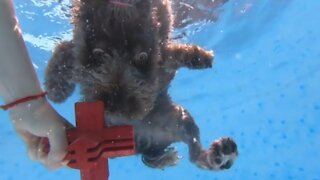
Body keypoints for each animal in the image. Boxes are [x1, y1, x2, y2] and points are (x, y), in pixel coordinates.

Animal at [45, 0, 238, 170]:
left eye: (141, 57)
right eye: (98, 54)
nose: (117, 108)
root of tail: (142, 145)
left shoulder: (160, 55)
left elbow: (172, 54)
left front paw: (199, 57)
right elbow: (63, 51)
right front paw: (56, 90)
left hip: (181, 121)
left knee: (195, 153)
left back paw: (219, 155)